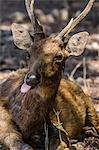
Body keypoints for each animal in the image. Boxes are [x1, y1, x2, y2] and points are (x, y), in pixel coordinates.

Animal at [0, 0, 98, 149]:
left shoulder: (58, 128)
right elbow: (21, 145)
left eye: (59, 56)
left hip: (90, 104)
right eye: (28, 53)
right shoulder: (3, 124)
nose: (31, 78)